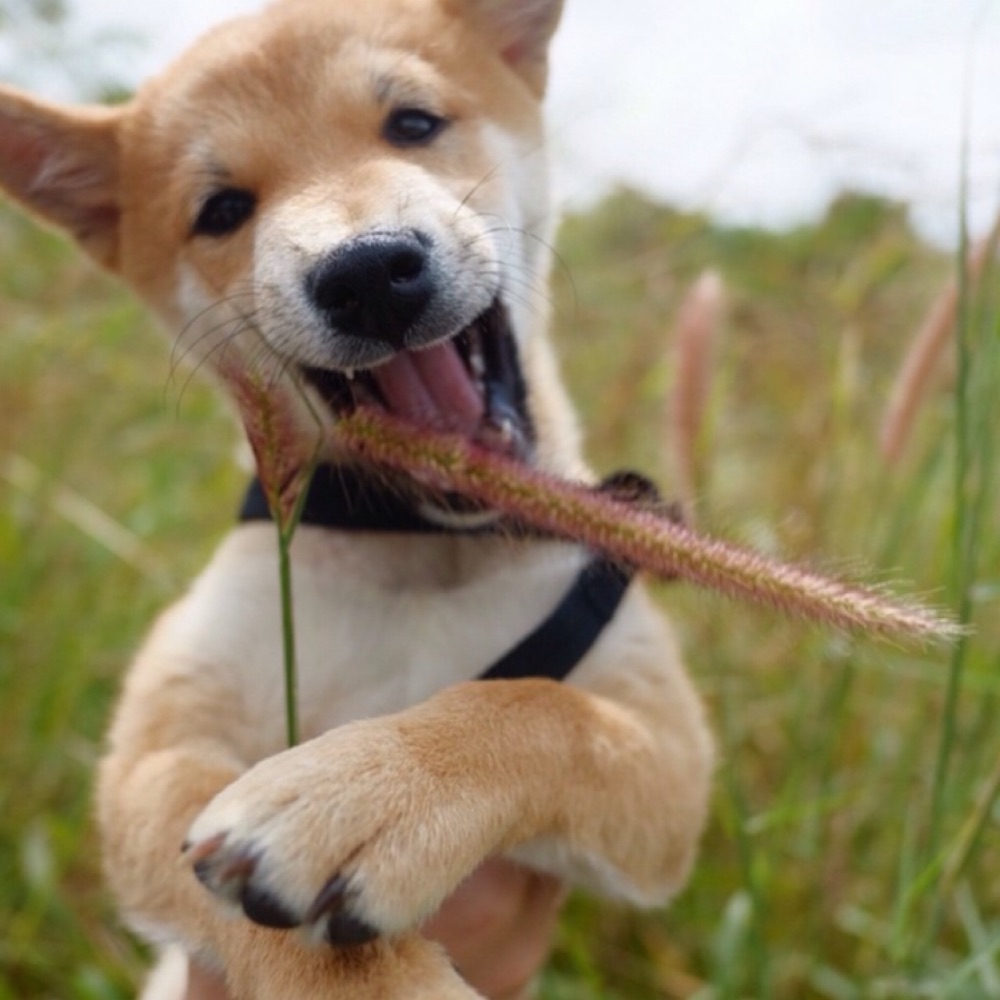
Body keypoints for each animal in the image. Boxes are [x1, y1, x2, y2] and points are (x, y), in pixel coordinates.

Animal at [0, 0, 713, 996]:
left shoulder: (668, 747)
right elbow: (202, 841)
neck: (423, 547)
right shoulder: (157, 746)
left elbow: (535, 707)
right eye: (221, 210)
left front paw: (376, 787)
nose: (369, 273)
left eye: (412, 123)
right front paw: (385, 974)